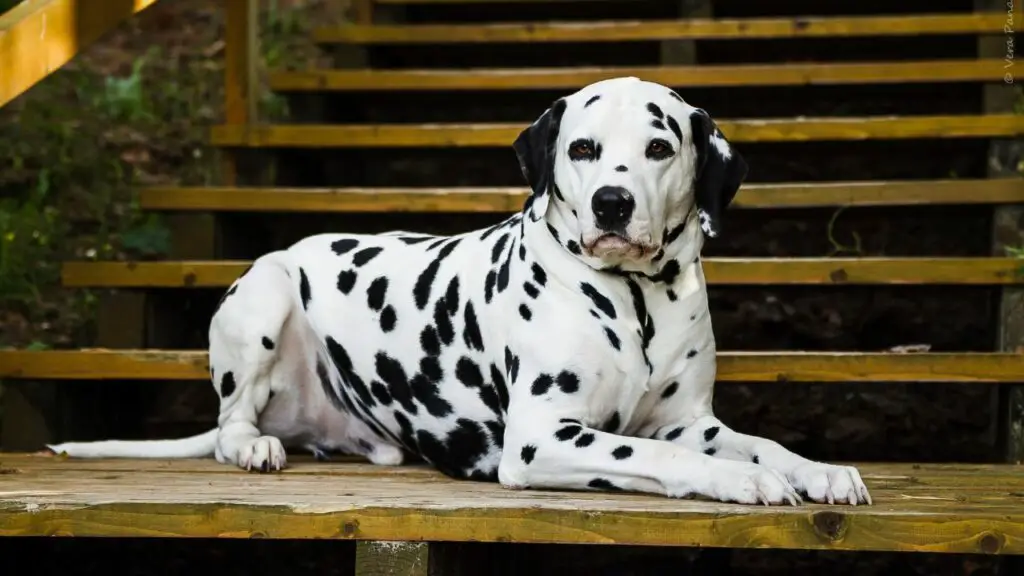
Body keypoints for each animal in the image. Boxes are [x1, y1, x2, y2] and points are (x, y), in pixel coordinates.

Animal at [51, 77, 872, 506]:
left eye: (660, 147)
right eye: (583, 148)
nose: (611, 204)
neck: (634, 300)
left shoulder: (690, 423)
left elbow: (759, 441)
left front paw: (814, 468)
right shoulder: (542, 438)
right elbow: (660, 459)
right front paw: (745, 480)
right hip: (266, 292)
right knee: (228, 426)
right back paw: (253, 444)